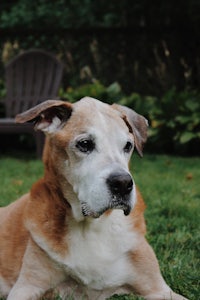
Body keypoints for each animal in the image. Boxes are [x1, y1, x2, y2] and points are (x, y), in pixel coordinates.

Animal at [0, 97, 188, 298]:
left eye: (127, 146)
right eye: (85, 144)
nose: (123, 184)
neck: (92, 226)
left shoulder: (159, 289)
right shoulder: (27, 287)